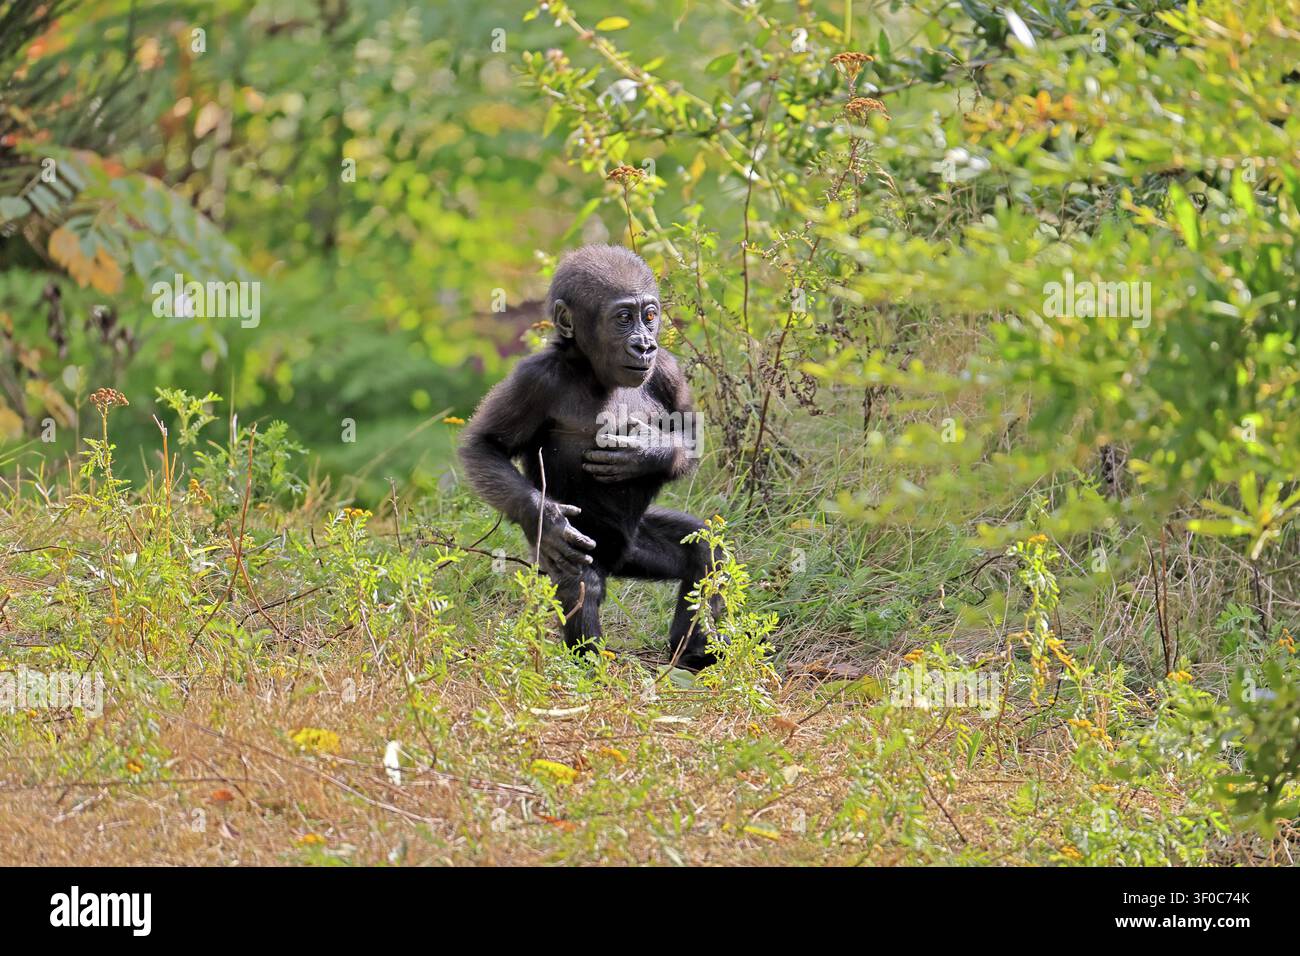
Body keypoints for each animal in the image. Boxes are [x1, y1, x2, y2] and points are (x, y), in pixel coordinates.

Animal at [459, 244, 721, 670]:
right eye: (623, 319)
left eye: (650, 316)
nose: (643, 344)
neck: (591, 368)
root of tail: (618, 559)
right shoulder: (534, 378)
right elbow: (486, 445)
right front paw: (546, 516)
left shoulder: (667, 369)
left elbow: (691, 434)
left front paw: (647, 452)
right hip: (581, 553)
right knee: (583, 582)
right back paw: (591, 665)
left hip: (636, 548)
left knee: (702, 549)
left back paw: (694, 653)